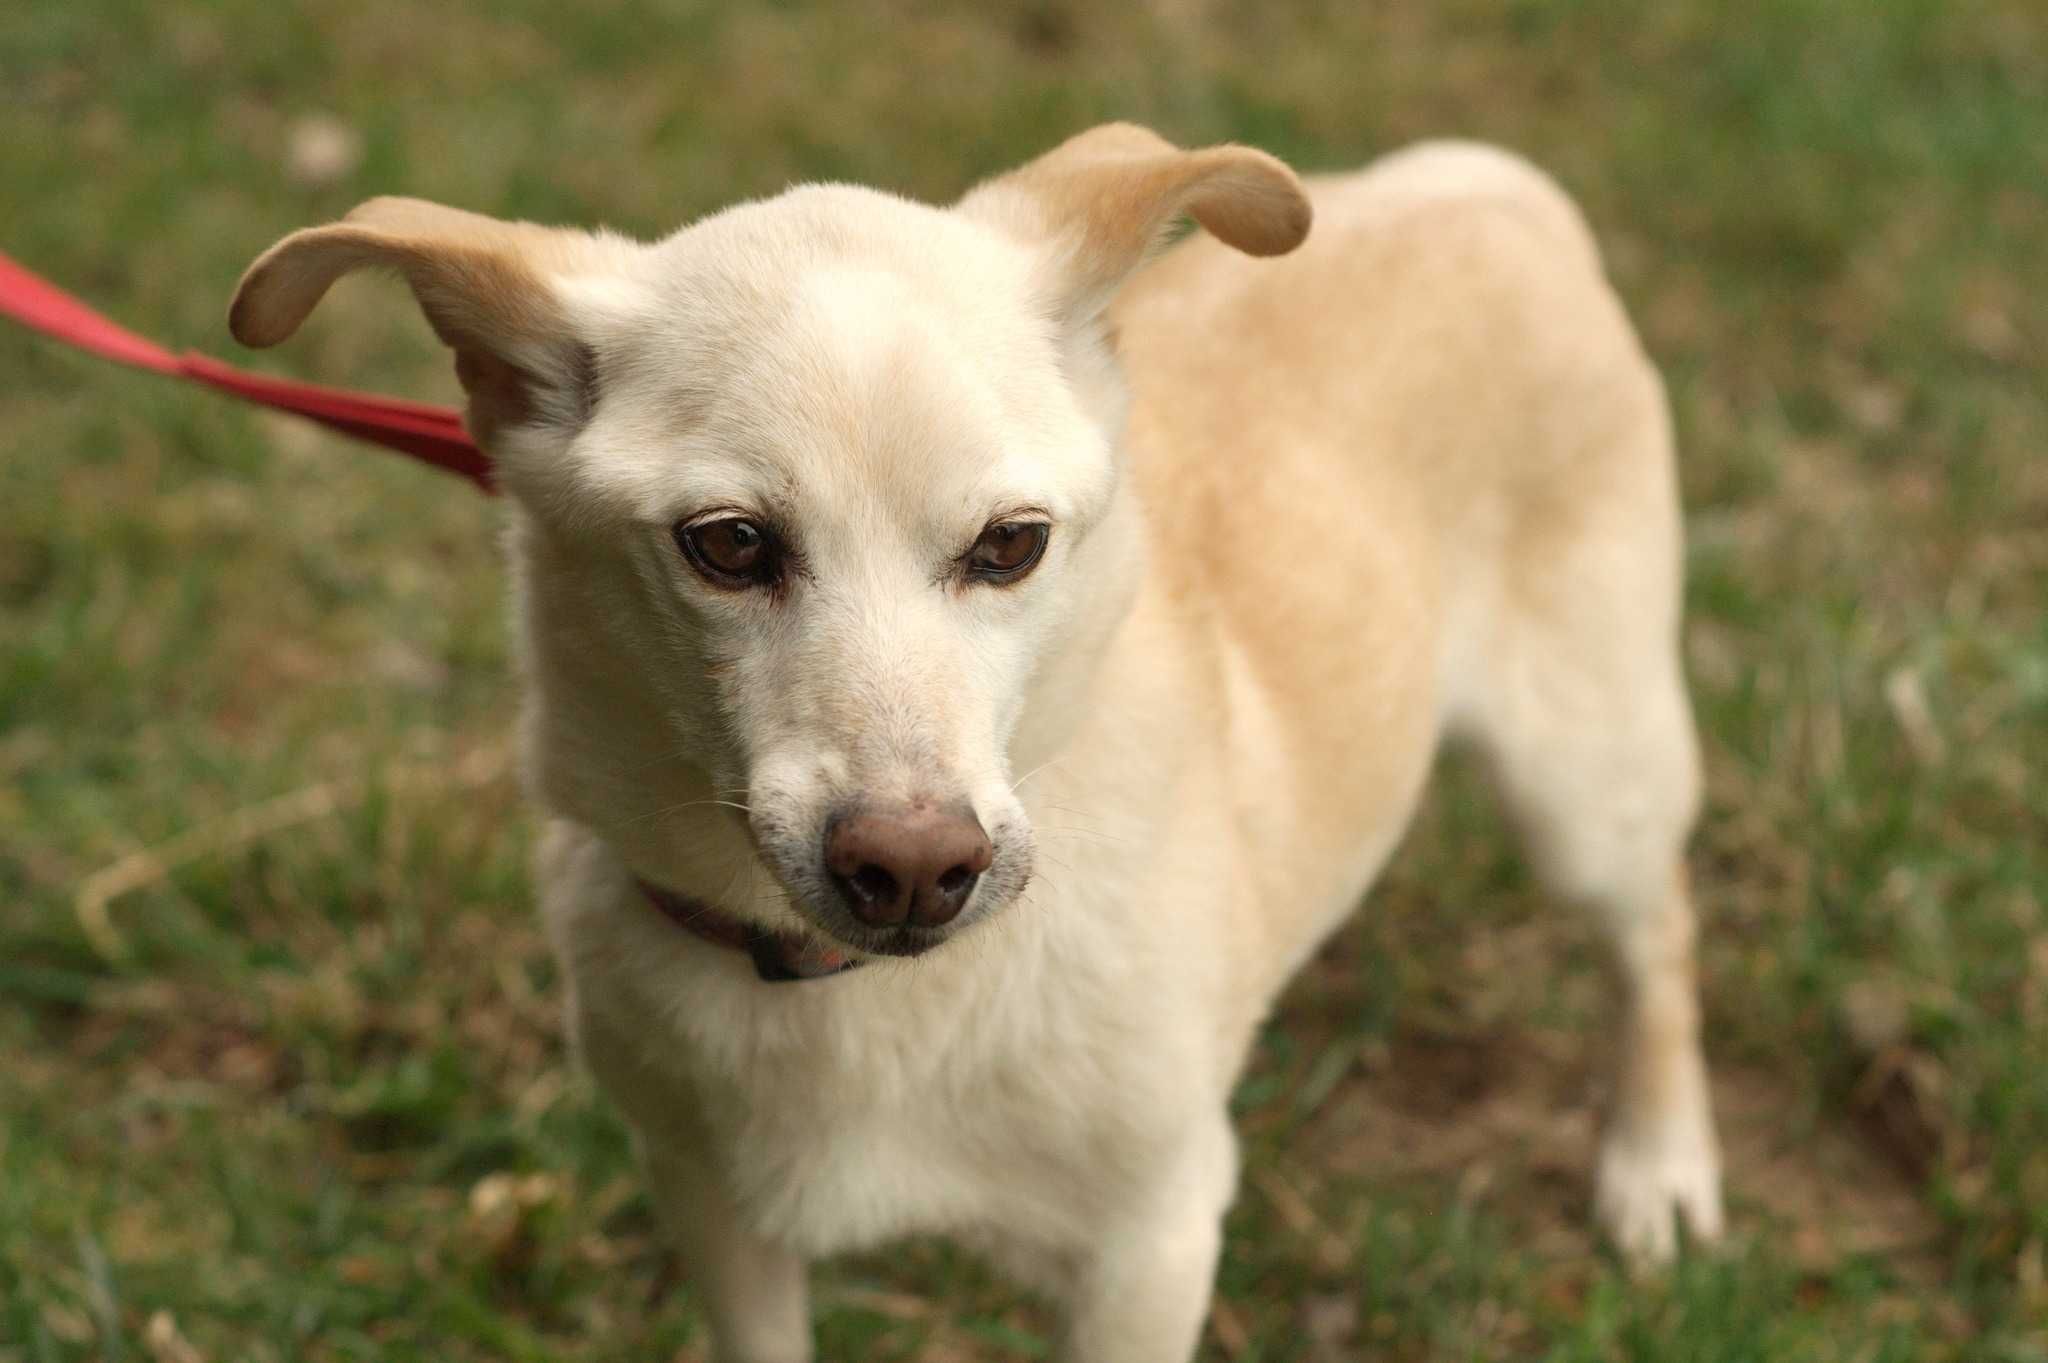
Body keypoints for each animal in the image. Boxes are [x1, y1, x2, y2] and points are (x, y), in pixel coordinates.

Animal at [232, 127, 1720, 1358]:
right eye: (728, 544)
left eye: (1011, 545)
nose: (912, 867)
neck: (854, 999)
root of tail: (1479, 182)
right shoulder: (715, 1211)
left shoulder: (1149, 1248)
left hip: (1586, 780)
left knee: (1656, 933)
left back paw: (1658, 1167)